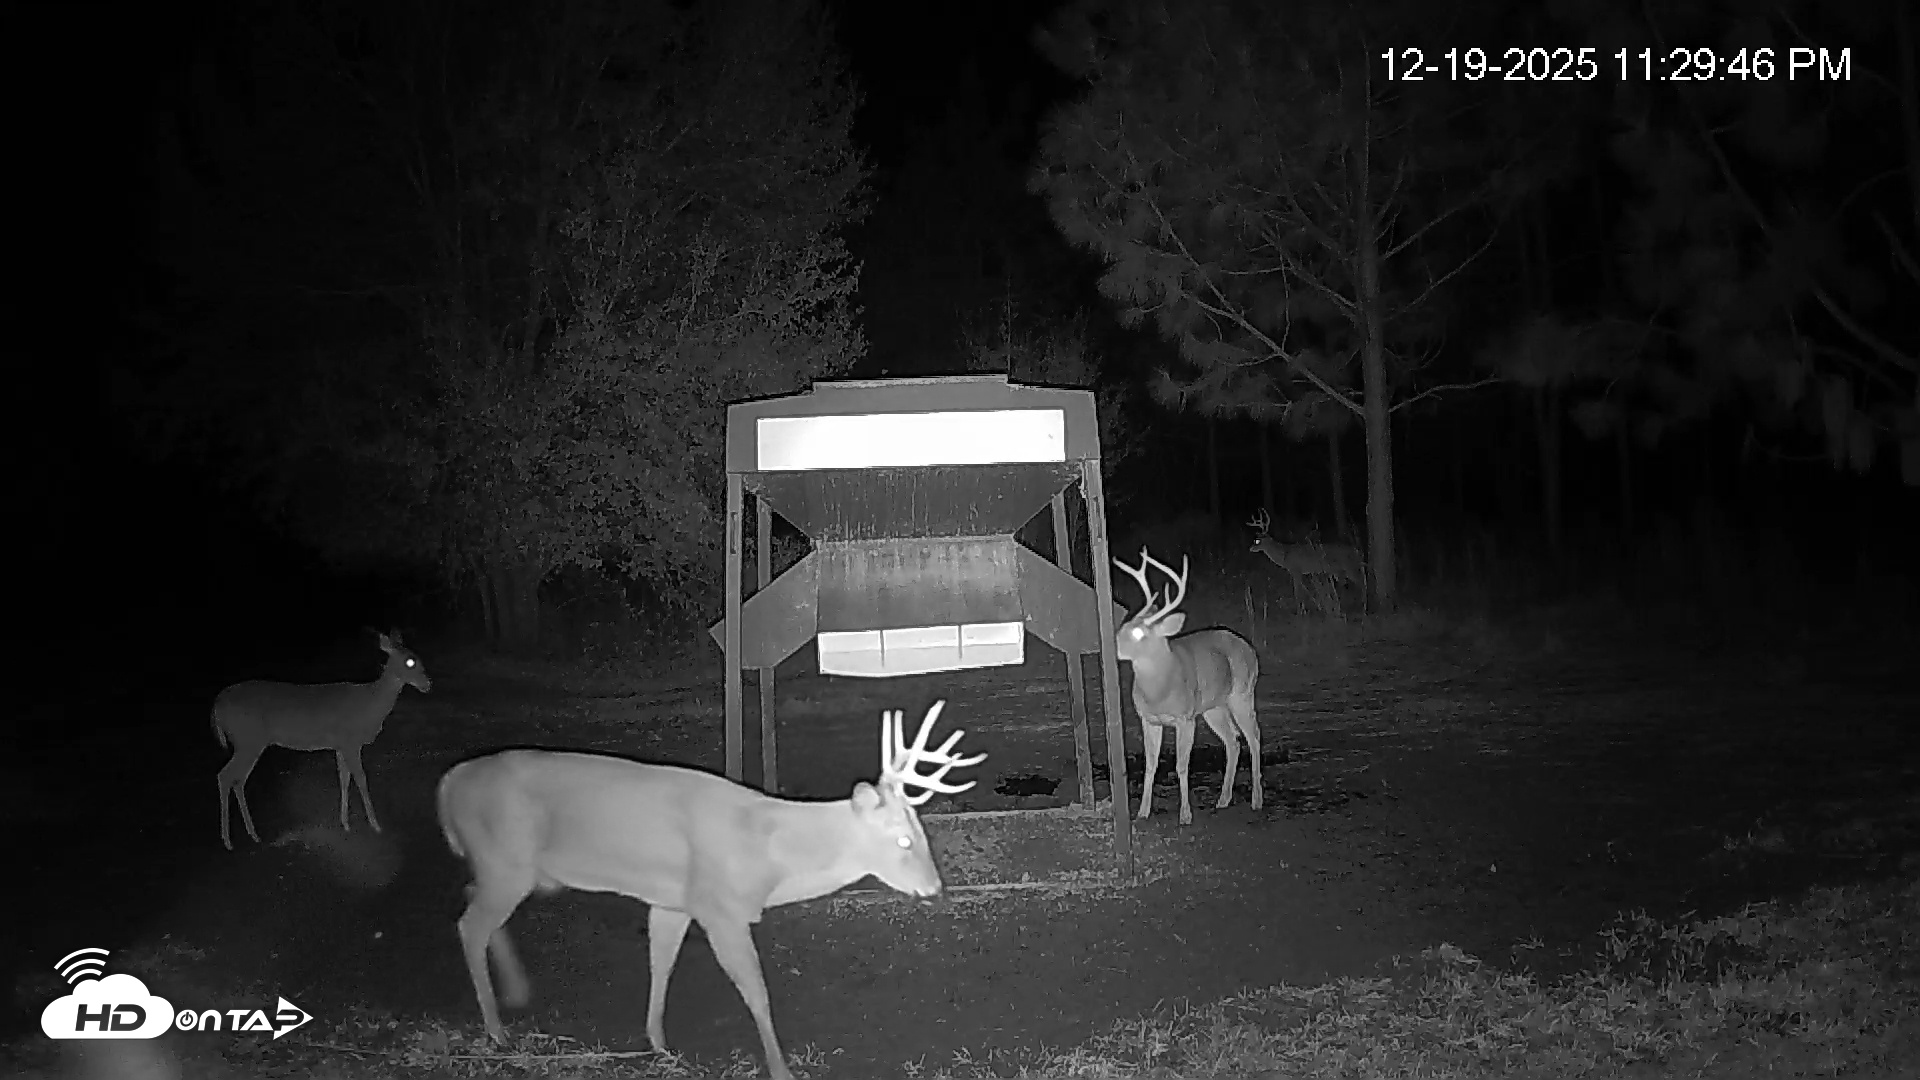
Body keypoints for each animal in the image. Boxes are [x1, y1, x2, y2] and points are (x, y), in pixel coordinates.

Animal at [212, 629, 432, 850]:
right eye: (410, 661)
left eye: (417, 657)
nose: (428, 684)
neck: (369, 705)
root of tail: (216, 708)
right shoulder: (350, 741)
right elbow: (361, 779)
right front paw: (375, 825)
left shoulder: (341, 745)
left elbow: (344, 779)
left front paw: (345, 824)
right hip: (248, 739)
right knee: (225, 776)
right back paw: (228, 840)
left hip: (248, 742)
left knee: (237, 779)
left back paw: (252, 834)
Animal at [436, 699, 987, 1080]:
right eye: (902, 839)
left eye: (922, 832)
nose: (935, 888)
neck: (768, 855)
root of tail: (446, 784)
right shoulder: (721, 907)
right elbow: (756, 992)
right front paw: (782, 1069)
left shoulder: (674, 900)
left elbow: (661, 962)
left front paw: (659, 1042)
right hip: (508, 862)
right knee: (468, 926)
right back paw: (496, 1029)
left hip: (504, 867)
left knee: (471, 902)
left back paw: (515, 994)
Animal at [1113, 547, 1263, 825]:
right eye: (1124, 626)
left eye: (1139, 634)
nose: (1111, 645)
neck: (1158, 691)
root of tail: (1248, 647)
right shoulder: (1149, 719)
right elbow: (1150, 765)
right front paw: (1142, 812)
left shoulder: (1185, 718)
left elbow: (1182, 765)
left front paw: (1185, 814)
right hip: (1213, 708)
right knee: (1233, 740)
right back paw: (1223, 799)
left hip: (1242, 694)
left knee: (1254, 737)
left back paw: (1257, 800)